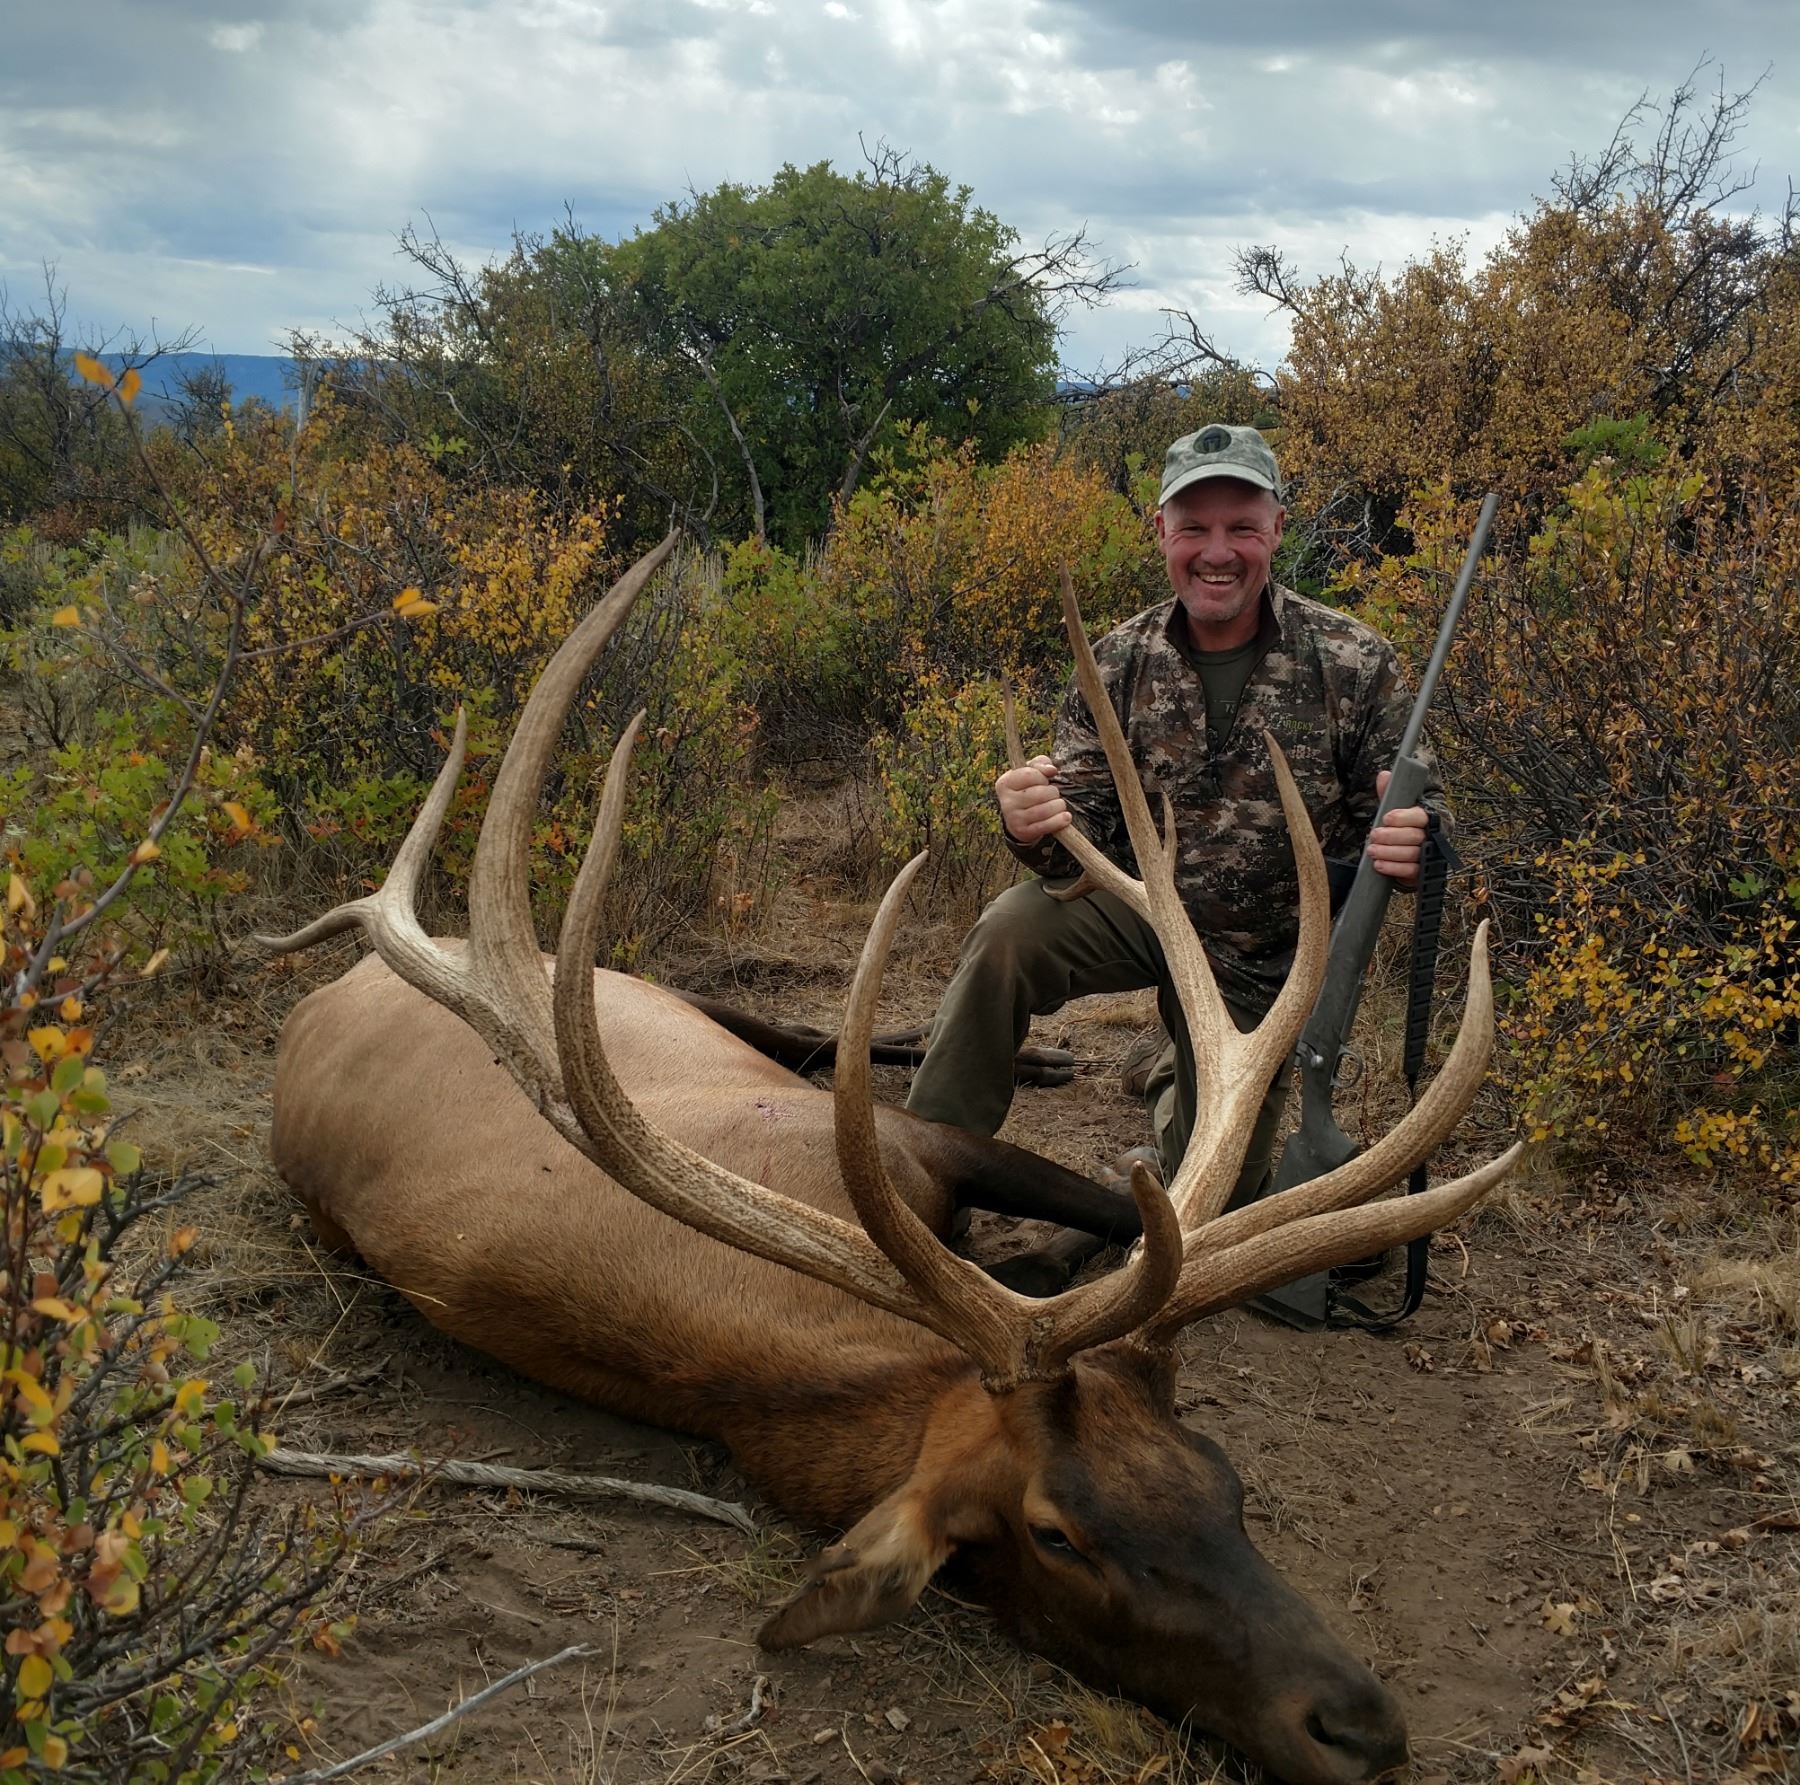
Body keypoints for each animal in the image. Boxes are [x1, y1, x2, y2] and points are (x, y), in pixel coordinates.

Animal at [266, 532, 1520, 1785]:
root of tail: (334, 982)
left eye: (1219, 1471)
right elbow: (1081, 1238)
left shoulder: (924, 1146)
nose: (1360, 1728)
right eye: (1057, 1536)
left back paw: (1051, 1063)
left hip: (675, 997)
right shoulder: (906, 1157)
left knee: (805, 1030)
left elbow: (1100, 1217)